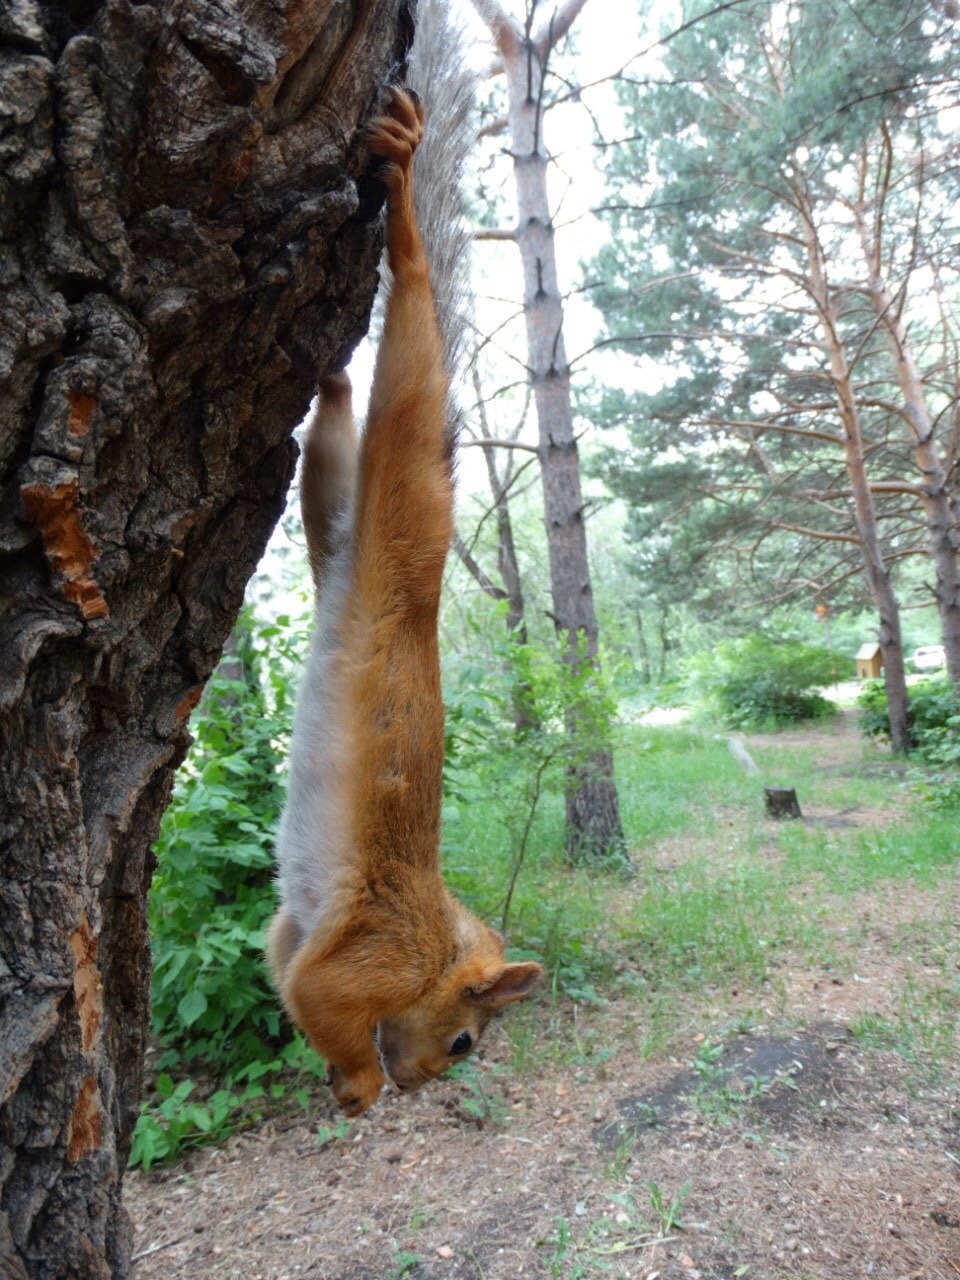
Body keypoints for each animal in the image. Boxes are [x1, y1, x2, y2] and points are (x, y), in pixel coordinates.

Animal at [267, 82, 545, 1121]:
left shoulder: (293, 929)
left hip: (340, 533)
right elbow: (319, 1000)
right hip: (412, 510)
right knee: (413, 372)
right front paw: (358, 1088)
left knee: (331, 455)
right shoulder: (373, 956)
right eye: (466, 1040)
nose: (426, 1077)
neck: (438, 938)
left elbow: (279, 965)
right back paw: (407, 215)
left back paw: (332, 370)